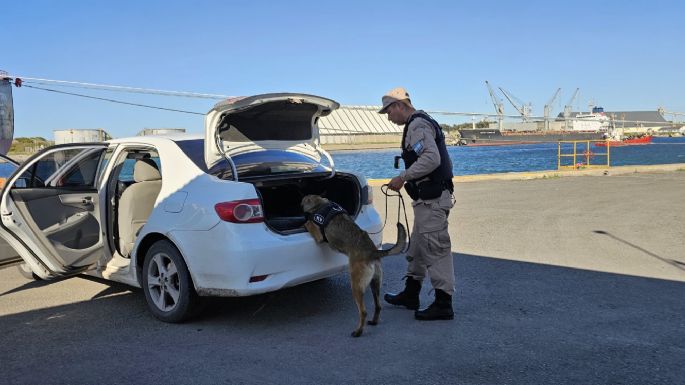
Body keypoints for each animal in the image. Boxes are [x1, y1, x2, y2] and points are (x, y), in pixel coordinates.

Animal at [300, 195, 406, 336]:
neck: (320, 204)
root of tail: (372, 252)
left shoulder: (318, 235)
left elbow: (308, 223)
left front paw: (305, 221)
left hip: (356, 286)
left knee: (363, 312)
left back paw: (358, 331)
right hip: (375, 284)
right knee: (378, 306)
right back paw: (374, 322)